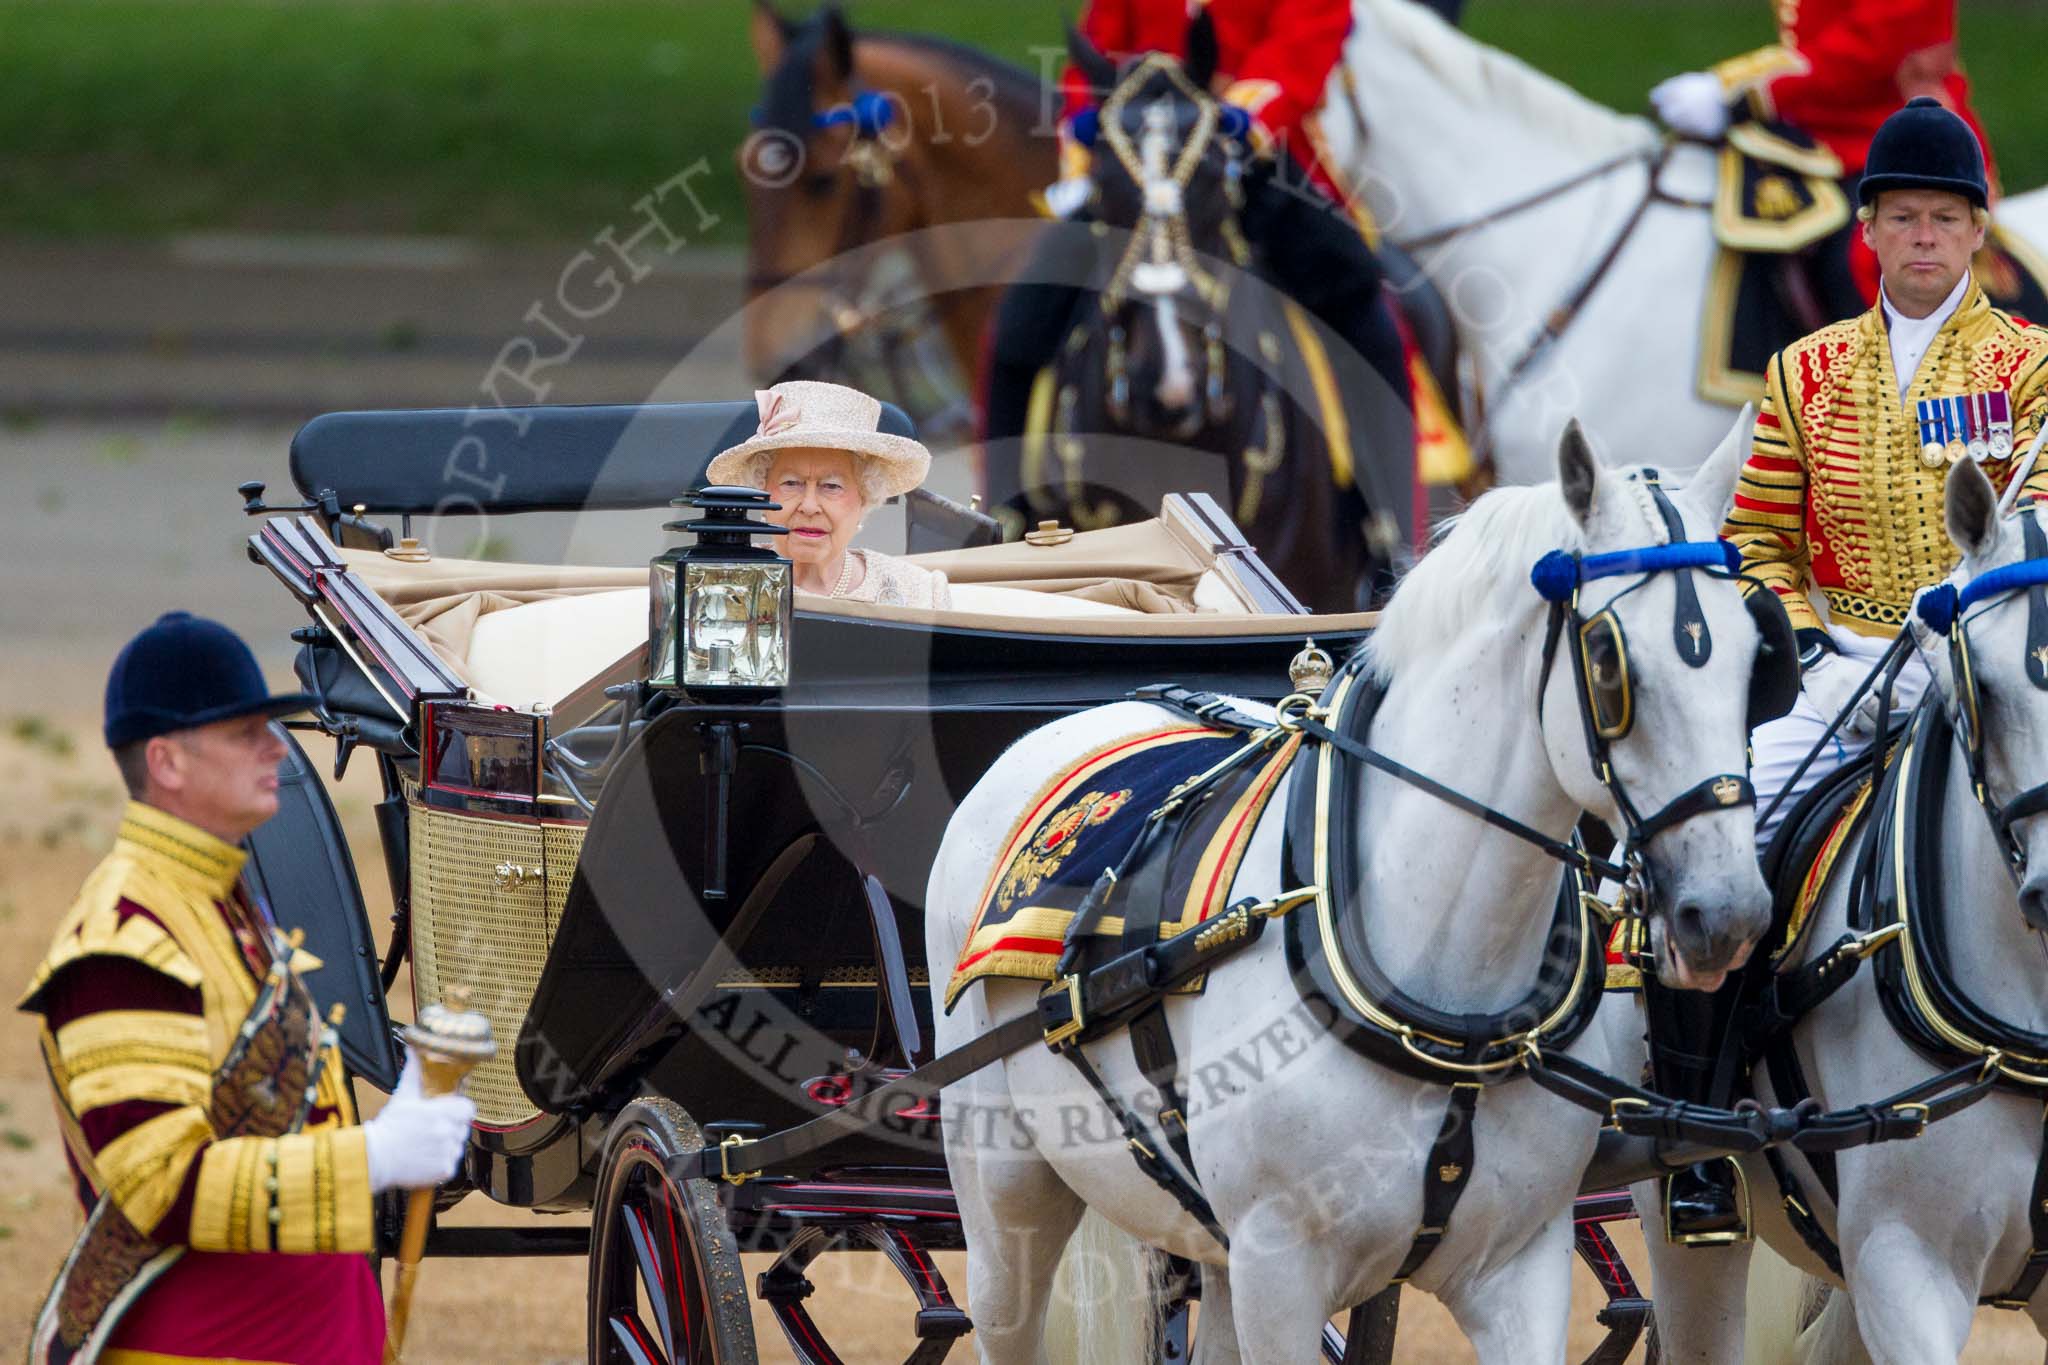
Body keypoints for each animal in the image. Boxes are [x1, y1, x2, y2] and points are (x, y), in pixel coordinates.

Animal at [929, 419, 1777, 1365]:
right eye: (1607, 662)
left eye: (1758, 658)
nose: (1725, 914)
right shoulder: (1279, 1268)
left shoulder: (1521, 1267)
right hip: (1005, 1199)